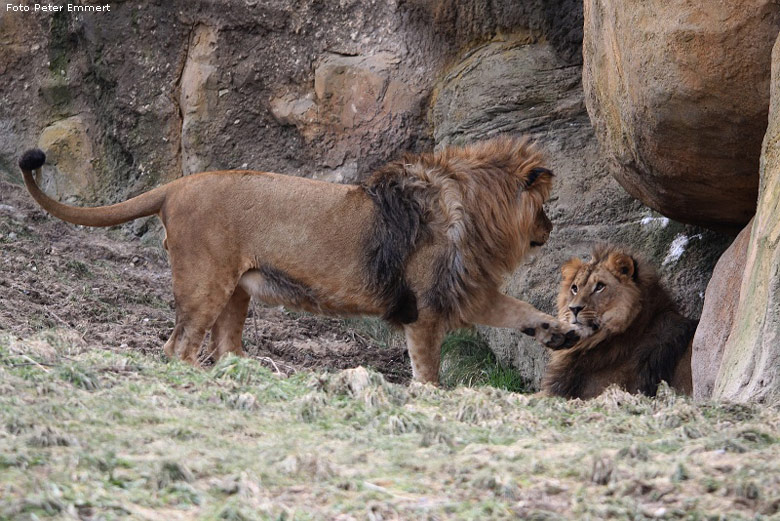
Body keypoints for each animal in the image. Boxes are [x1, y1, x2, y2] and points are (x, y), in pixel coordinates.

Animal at [18, 136, 580, 382]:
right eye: (544, 208)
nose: (551, 229)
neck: (475, 209)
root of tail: (177, 184)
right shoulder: (424, 306)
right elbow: (428, 367)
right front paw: (432, 397)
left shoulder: (466, 290)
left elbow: (520, 311)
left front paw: (562, 333)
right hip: (205, 283)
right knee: (177, 346)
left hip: (236, 293)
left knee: (224, 347)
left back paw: (252, 378)